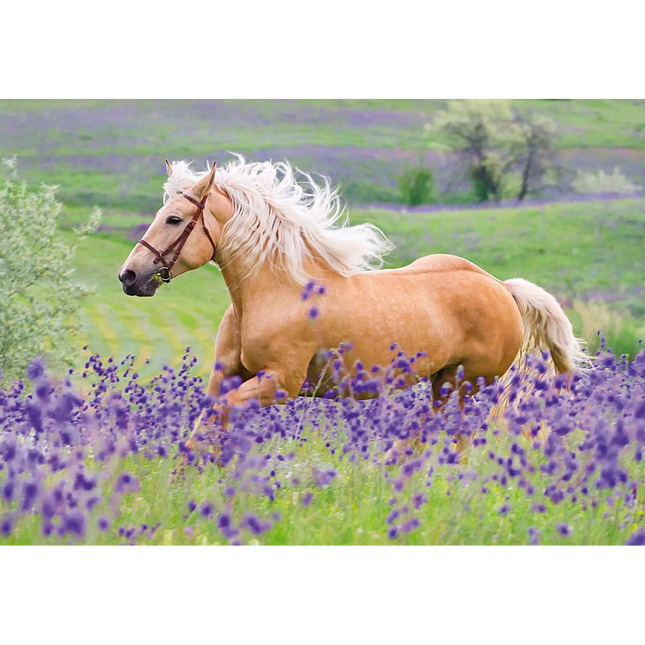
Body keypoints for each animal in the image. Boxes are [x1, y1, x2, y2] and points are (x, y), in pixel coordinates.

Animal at [118, 155, 587, 455]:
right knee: (438, 433)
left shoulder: (280, 384)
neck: (273, 292)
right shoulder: (228, 376)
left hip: (464, 384)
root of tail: (501, 287)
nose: (130, 276)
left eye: (174, 219)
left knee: (447, 434)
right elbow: (204, 428)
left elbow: (218, 421)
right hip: (444, 382)